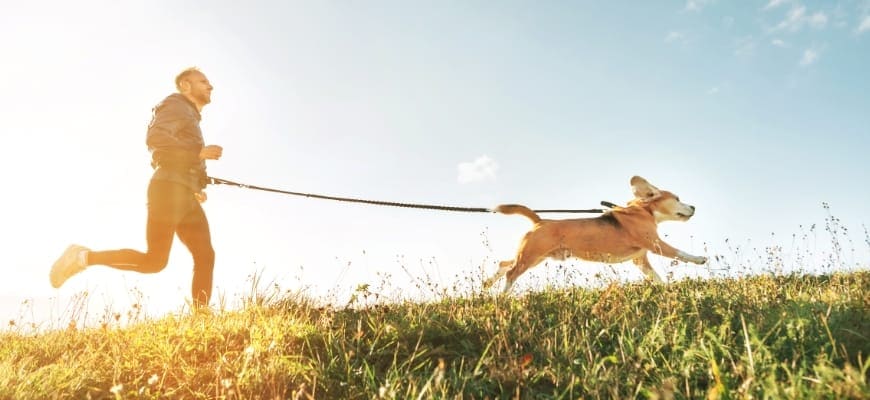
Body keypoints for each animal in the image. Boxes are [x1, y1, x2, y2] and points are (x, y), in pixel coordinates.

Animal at [484, 175, 708, 290]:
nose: (694, 207)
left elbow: (656, 277)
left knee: (504, 264)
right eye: (677, 198)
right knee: (511, 273)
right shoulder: (655, 243)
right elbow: (680, 253)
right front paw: (699, 259)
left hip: (535, 256)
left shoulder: (640, 260)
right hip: (531, 255)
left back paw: (487, 286)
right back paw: (503, 296)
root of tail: (540, 221)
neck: (644, 210)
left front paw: (665, 289)